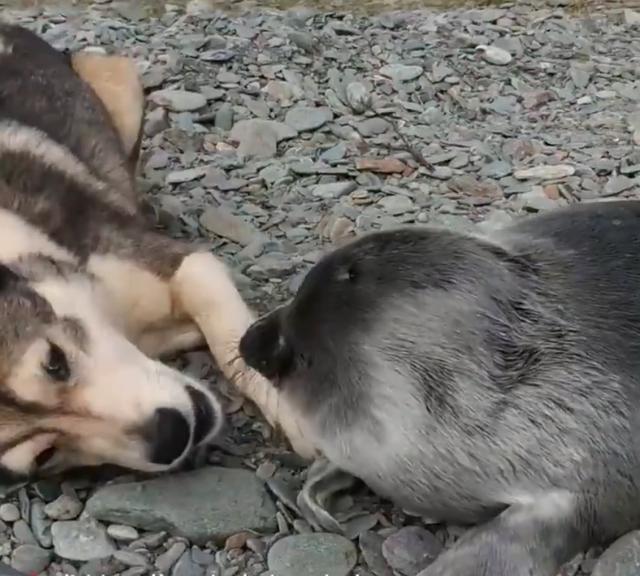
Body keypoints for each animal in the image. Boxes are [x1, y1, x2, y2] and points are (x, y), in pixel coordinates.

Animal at [0, 21, 318, 482]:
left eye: (54, 361)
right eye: (46, 454)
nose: (171, 436)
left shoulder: (180, 263)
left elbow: (233, 343)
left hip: (117, 78)